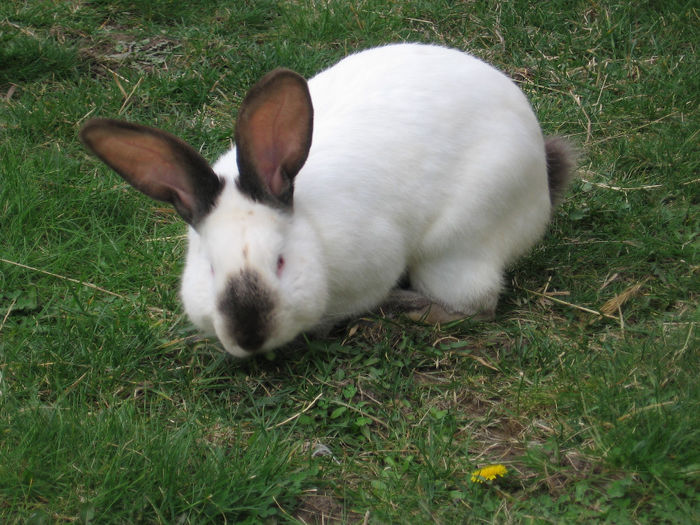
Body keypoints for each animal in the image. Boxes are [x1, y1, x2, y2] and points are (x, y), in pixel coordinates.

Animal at [80, 43, 576, 358]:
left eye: (281, 261)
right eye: (210, 270)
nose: (249, 335)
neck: (311, 228)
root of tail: (541, 177)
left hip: (457, 246)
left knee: (476, 305)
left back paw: (405, 309)